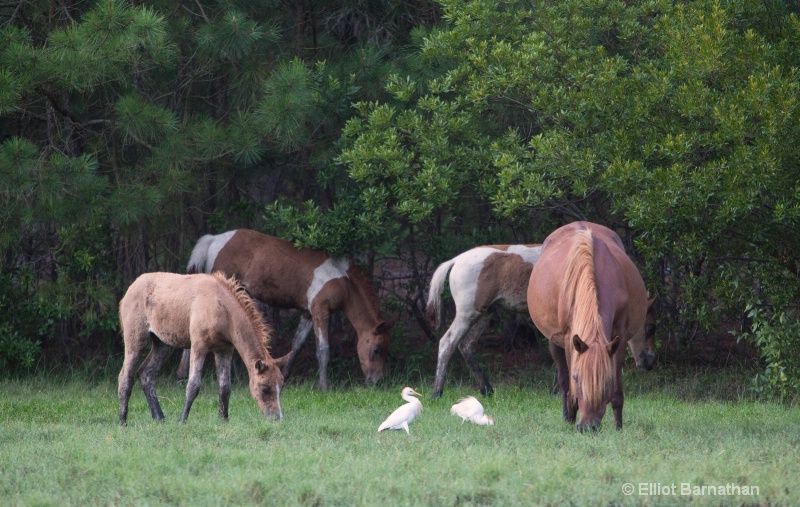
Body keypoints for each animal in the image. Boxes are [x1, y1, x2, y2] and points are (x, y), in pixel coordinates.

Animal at [116, 274, 284, 424]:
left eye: (281, 386)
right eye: (265, 388)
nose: (277, 418)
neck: (222, 309)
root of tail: (130, 290)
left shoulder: (224, 349)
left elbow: (225, 386)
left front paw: (224, 419)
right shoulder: (198, 345)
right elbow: (193, 384)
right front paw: (182, 419)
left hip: (163, 344)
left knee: (146, 374)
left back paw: (159, 417)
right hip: (136, 339)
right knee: (125, 376)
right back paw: (123, 421)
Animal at [182, 230, 394, 388]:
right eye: (377, 349)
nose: (376, 381)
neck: (344, 281)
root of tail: (214, 239)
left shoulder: (307, 314)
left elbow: (297, 344)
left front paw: (284, 375)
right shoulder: (320, 311)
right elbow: (323, 349)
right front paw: (324, 386)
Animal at [424, 244, 656, 398]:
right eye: (651, 327)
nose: (650, 362)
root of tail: (456, 260)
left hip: (484, 315)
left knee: (467, 347)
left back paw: (487, 390)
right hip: (467, 314)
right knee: (447, 343)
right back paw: (437, 392)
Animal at [524, 222, 648, 432]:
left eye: (606, 382)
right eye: (577, 378)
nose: (587, 427)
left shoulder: (620, 337)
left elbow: (617, 389)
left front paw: (618, 427)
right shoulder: (569, 338)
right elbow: (568, 384)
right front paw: (571, 416)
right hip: (553, 341)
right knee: (562, 380)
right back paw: (566, 416)